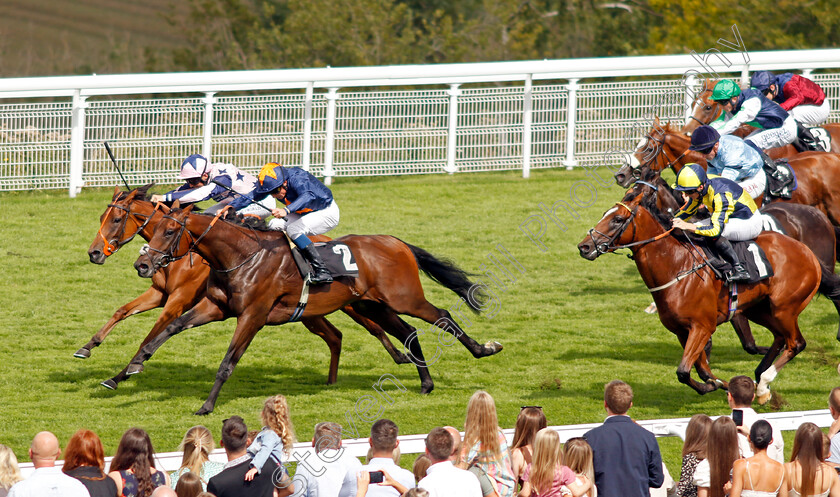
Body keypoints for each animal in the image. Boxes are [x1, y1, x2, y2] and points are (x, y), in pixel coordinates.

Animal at [86, 184, 414, 390]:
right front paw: (89, 347)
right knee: (335, 336)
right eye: (101, 217)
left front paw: (125, 372)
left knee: (372, 324)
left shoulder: (179, 300)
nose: (94, 253)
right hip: (308, 312)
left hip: (347, 302)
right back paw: (336, 379)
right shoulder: (160, 293)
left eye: (117, 218)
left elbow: (152, 334)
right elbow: (122, 311)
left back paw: (402, 355)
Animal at [130, 200, 498, 412]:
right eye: (154, 228)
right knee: (409, 331)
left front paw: (206, 406)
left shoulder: (252, 316)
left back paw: (483, 350)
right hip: (371, 305)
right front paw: (134, 365)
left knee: (443, 317)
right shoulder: (216, 307)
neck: (241, 256)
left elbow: (227, 363)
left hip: (404, 298)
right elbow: (171, 327)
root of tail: (396, 242)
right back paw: (426, 383)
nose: (143, 265)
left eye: (170, 231)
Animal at [576, 180, 820, 402]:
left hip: (784, 308)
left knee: (795, 343)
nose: (584, 247)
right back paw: (759, 379)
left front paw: (720, 386)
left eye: (617, 219)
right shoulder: (682, 330)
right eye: (604, 214)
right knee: (780, 337)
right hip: (757, 309)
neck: (677, 267)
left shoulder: (702, 326)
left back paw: (763, 384)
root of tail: (807, 252)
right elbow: (701, 370)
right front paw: (719, 384)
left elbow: (684, 371)